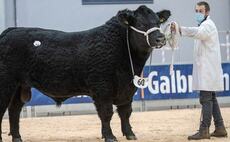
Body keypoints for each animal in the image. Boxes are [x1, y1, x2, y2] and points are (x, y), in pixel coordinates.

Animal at [0, 5, 171, 142]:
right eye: (141, 24)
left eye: (158, 23)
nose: (161, 38)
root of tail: (11, 30)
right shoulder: (102, 88)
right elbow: (106, 113)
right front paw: (110, 136)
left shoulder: (128, 89)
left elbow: (125, 112)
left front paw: (130, 134)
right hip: (6, 84)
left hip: (20, 87)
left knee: (14, 111)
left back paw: (17, 137)